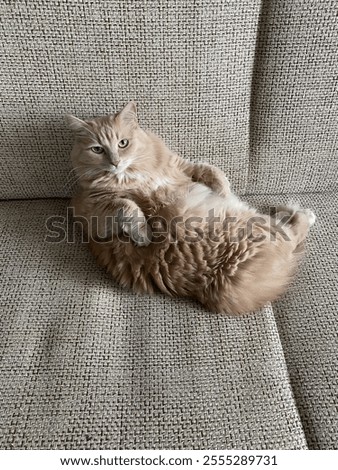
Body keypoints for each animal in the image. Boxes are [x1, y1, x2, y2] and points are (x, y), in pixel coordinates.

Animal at [66, 103, 316, 316]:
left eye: (123, 143)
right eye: (98, 150)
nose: (115, 162)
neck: (130, 175)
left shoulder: (180, 165)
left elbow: (213, 172)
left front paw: (224, 192)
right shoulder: (93, 215)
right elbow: (127, 206)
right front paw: (144, 234)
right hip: (259, 227)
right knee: (293, 230)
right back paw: (301, 213)